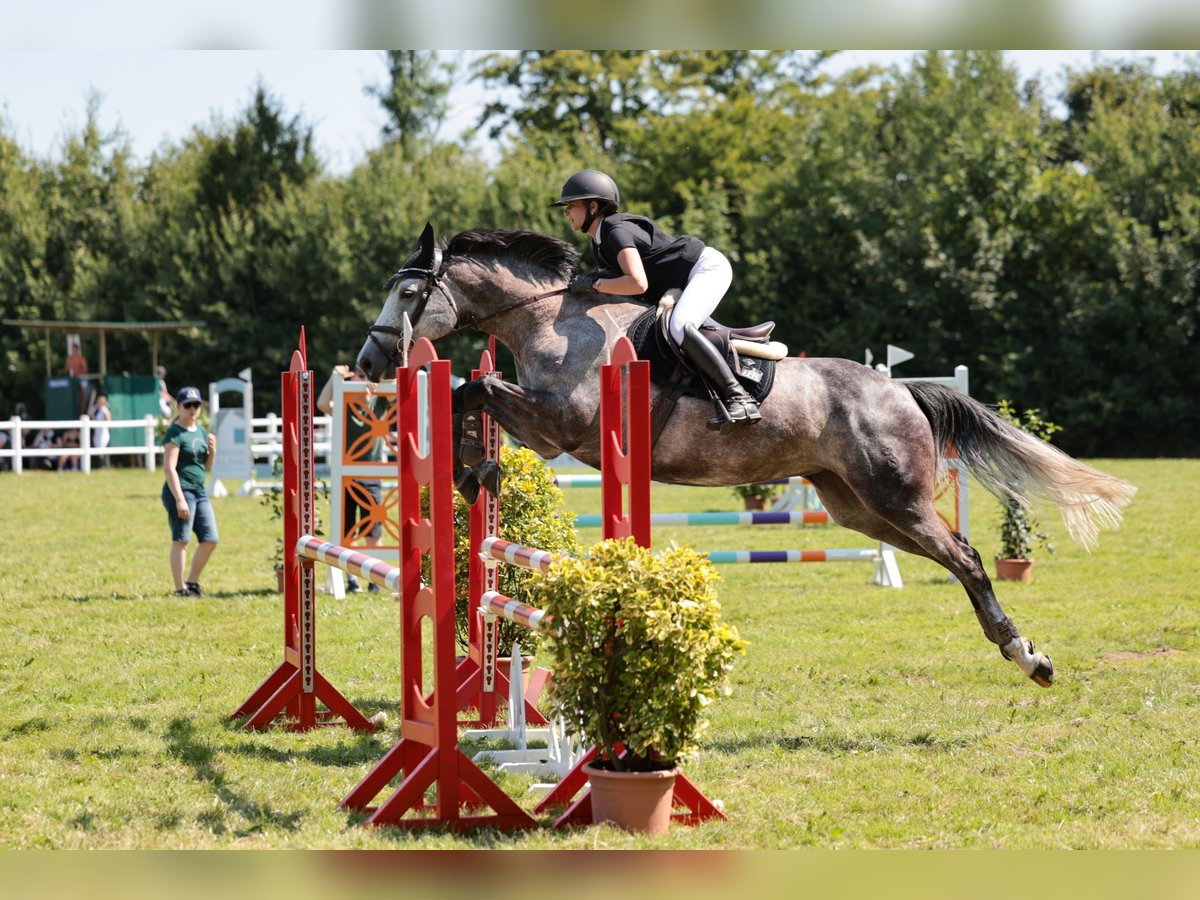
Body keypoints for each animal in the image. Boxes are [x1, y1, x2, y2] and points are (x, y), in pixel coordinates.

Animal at [355, 222, 1132, 686]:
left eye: (409, 291)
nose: (368, 359)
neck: (548, 318)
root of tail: (901, 390)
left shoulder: (562, 428)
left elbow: (479, 385)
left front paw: (471, 467)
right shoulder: (549, 430)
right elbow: (471, 388)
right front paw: (470, 469)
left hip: (897, 497)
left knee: (967, 558)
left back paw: (1028, 656)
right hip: (857, 508)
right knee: (944, 555)